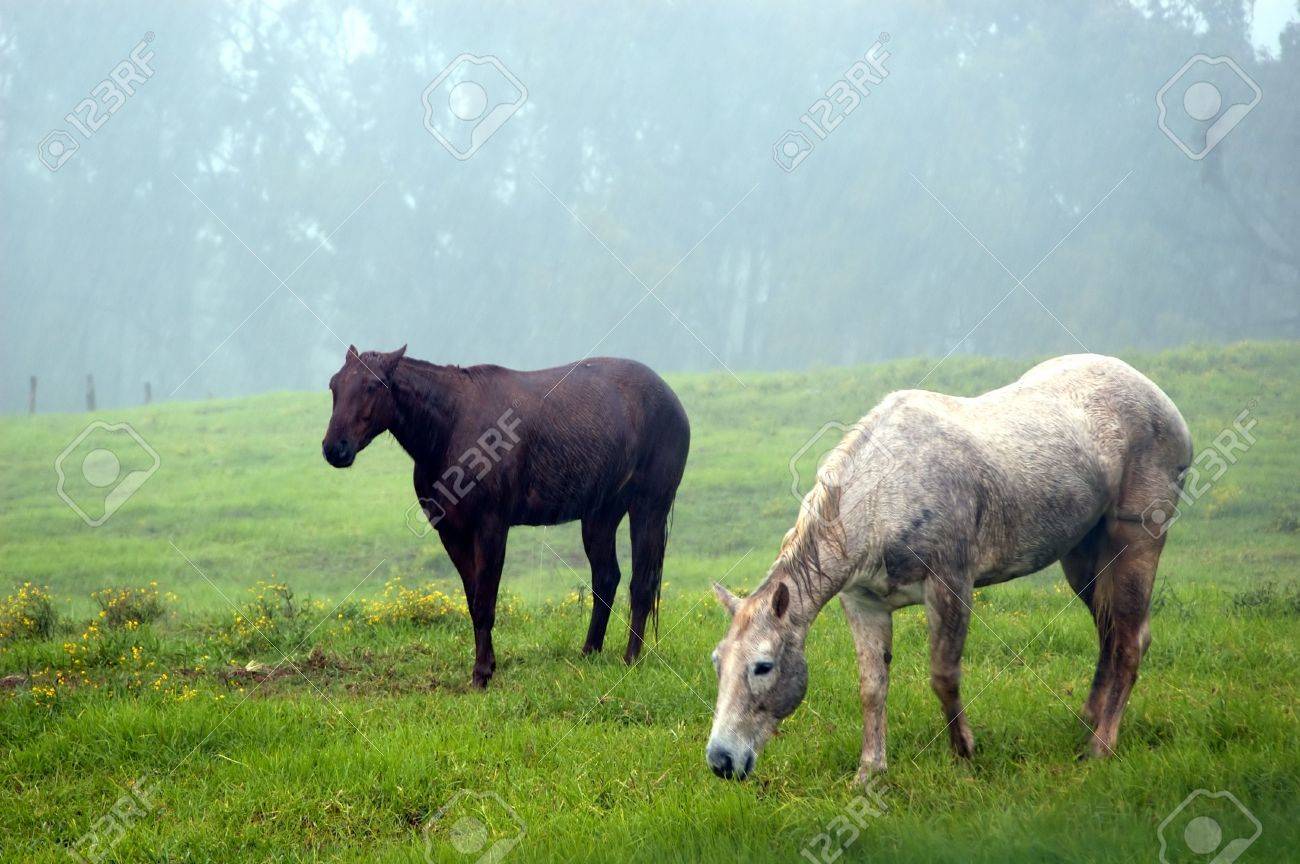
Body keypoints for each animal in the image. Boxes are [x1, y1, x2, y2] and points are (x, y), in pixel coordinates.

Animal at [321, 345, 690, 687]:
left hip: (648, 508)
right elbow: (474, 601)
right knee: (606, 578)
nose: (334, 448)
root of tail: (672, 399)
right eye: (334, 384)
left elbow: (486, 601)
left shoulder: (491, 527)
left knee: (641, 583)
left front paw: (482, 673)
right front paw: (485, 666)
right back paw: (589, 652)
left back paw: (631, 658)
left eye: (373, 385)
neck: (452, 426)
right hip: (600, 516)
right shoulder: (451, 533)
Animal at [706, 354, 1191, 786]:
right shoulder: (863, 601)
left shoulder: (950, 584)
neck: (884, 497)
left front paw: (964, 753)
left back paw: (1100, 746)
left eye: (763, 666)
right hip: (1082, 555)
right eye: (717, 661)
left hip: (1136, 541)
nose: (721, 760)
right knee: (1110, 633)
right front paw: (869, 773)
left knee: (1129, 641)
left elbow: (944, 675)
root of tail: (1166, 405)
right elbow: (872, 687)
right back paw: (1088, 720)